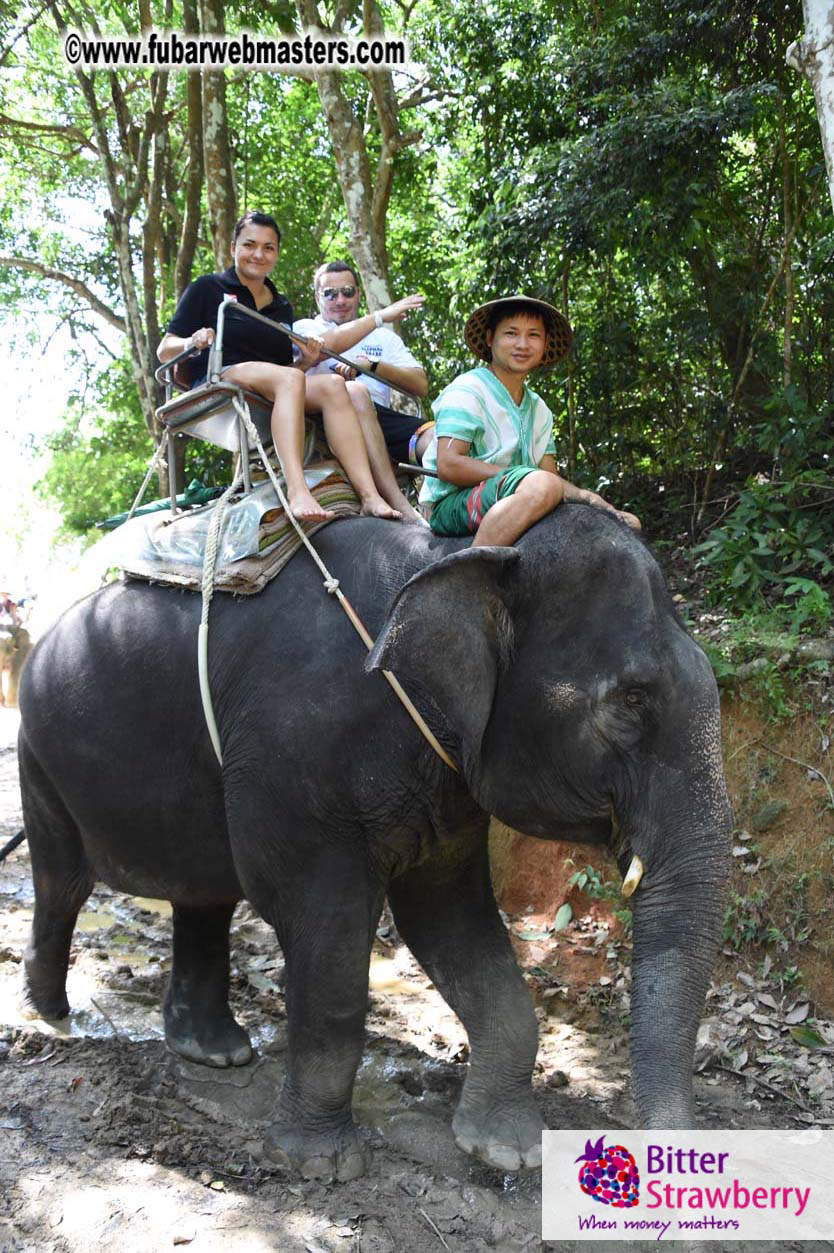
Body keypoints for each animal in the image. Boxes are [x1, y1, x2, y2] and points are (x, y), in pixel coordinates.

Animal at [17, 503, 732, 1182]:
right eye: (631, 699)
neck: (451, 553)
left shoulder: (444, 783)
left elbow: (446, 917)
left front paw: (508, 1151)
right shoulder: (293, 761)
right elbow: (324, 929)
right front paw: (319, 1163)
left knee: (204, 895)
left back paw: (214, 1052)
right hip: (38, 757)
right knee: (64, 884)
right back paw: (52, 1017)